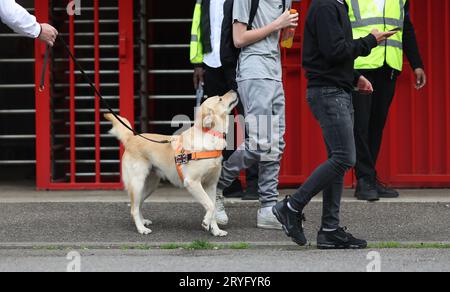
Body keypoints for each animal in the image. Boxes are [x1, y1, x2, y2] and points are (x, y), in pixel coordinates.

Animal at [105, 91, 239, 237]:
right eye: (220, 99)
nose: (233, 90)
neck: (210, 135)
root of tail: (131, 138)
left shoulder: (211, 185)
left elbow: (213, 207)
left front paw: (216, 230)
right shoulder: (192, 182)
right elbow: (210, 204)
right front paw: (205, 222)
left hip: (150, 185)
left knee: (138, 204)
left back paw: (143, 221)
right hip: (137, 183)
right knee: (133, 208)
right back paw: (141, 228)